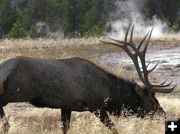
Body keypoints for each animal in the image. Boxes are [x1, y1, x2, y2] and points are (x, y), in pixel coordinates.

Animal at [0, 24, 174, 133]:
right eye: (152, 99)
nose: (163, 115)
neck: (109, 91)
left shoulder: (66, 106)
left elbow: (64, 128)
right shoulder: (96, 106)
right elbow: (114, 129)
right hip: (15, 92)